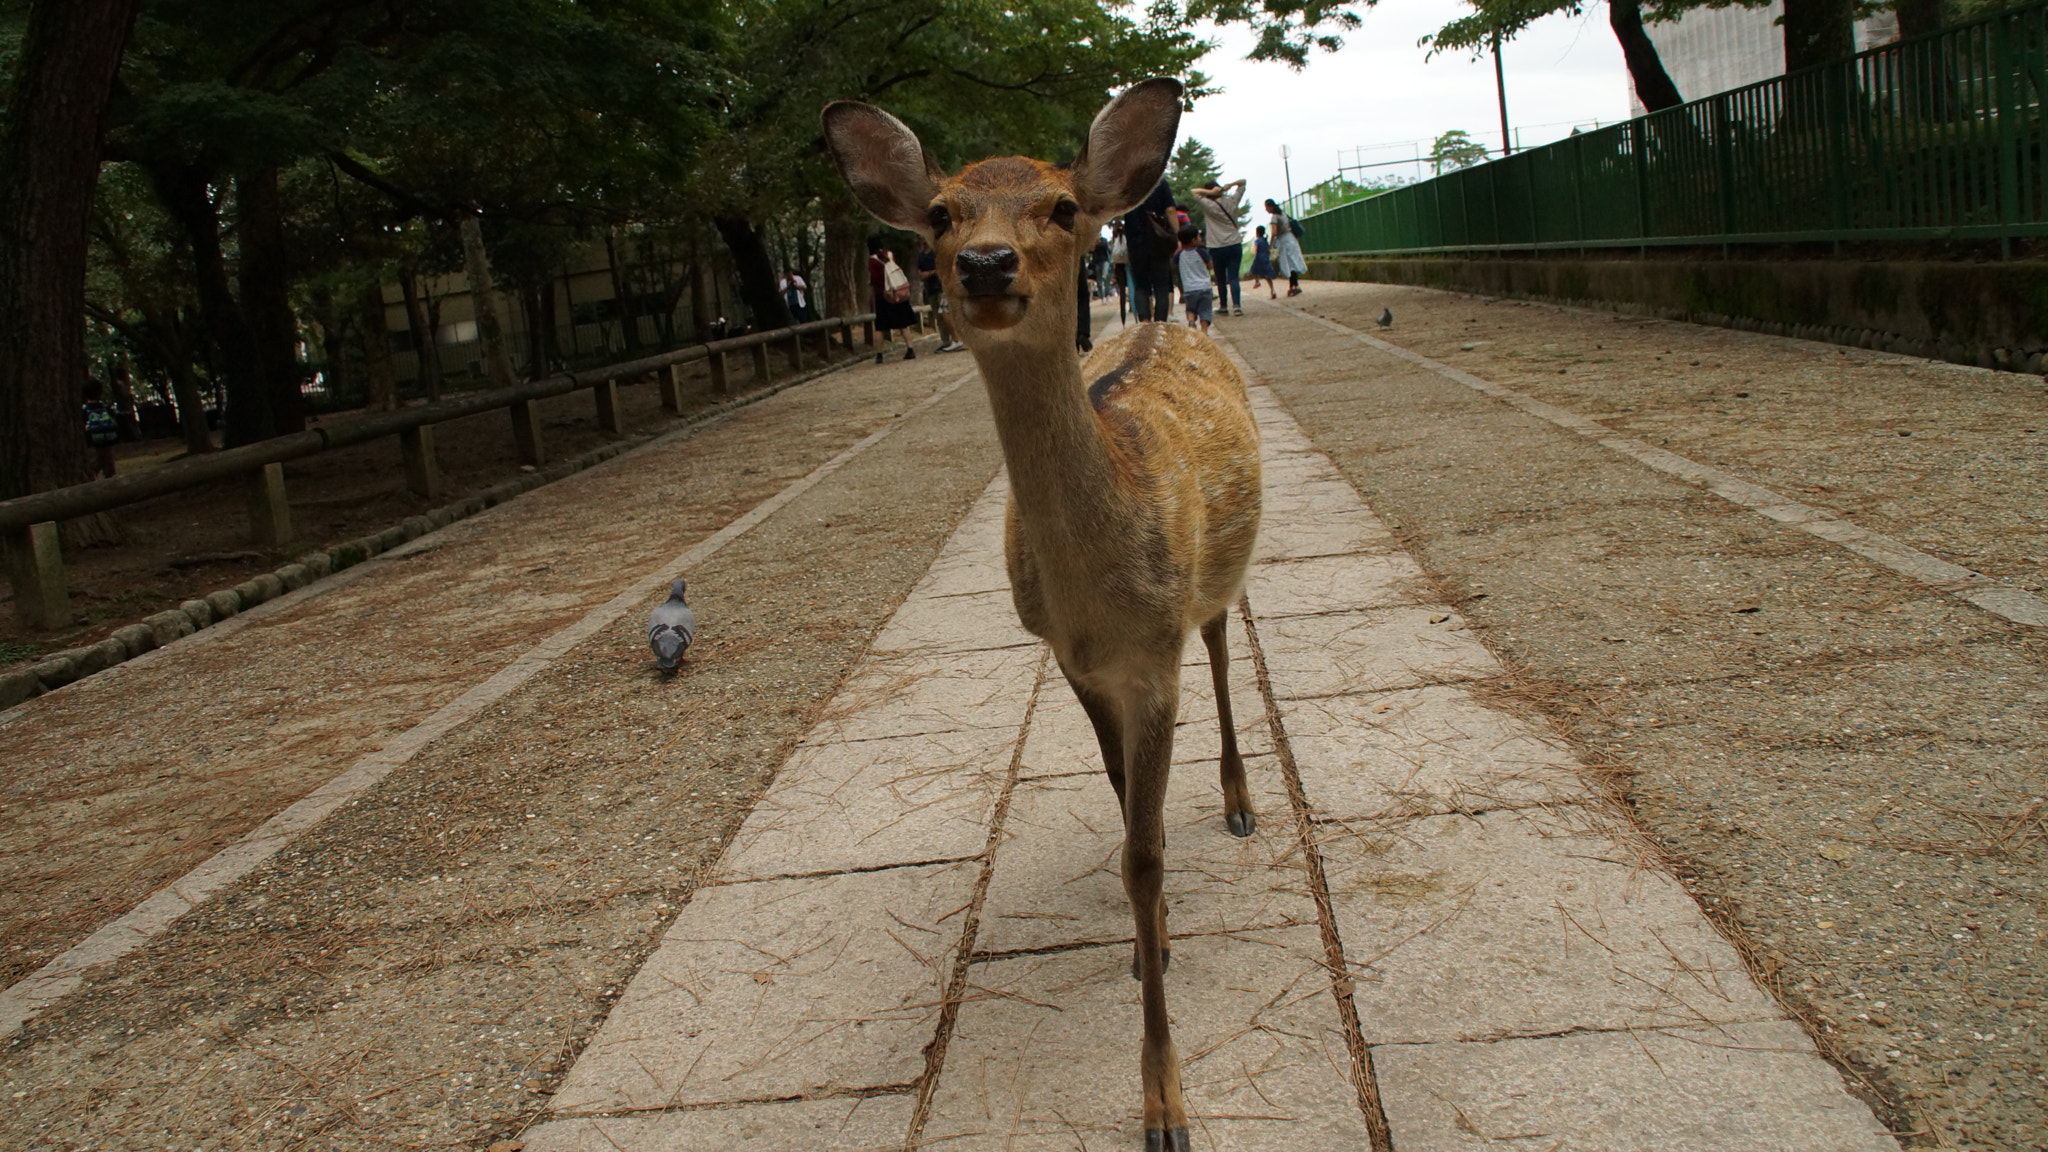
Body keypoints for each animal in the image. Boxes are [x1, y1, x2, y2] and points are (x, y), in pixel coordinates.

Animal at [823, 79, 1262, 1152]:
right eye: (942, 214)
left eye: (1064, 207)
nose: (986, 262)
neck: (1099, 599)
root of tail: (1169, 319)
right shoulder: (1069, 658)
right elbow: (1121, 803)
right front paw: (1153, 947)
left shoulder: (1154, 653)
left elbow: (1146, 852)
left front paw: (1165, 1106)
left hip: (1219, 581)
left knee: (1226, 648)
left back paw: (1239, 801)